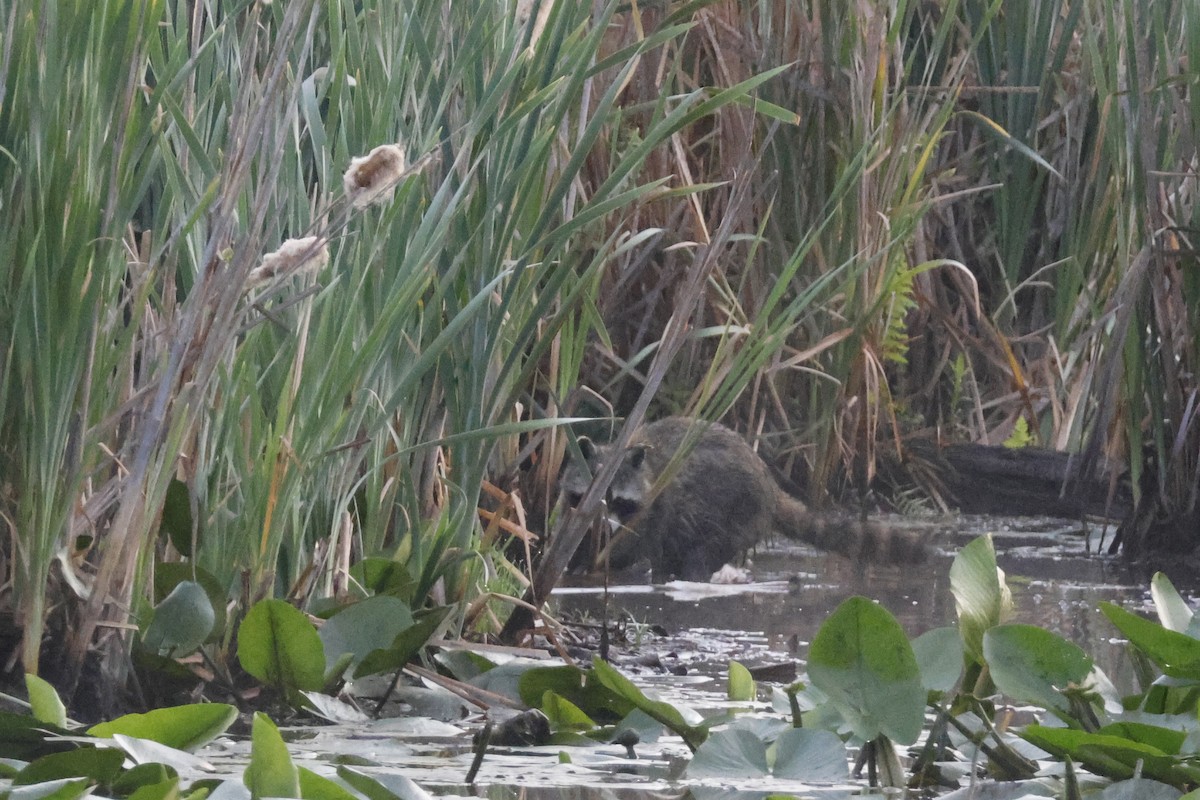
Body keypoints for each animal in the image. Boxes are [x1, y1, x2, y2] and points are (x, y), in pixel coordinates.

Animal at [559, 417, 931, 580]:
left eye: (620, 502)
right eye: (589, 497)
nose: (606, 527)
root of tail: (768, 482)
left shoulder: (655, 508)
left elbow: (634, 545)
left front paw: (600, 561)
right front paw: (577, 557)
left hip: (737, 510)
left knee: (699, 553)